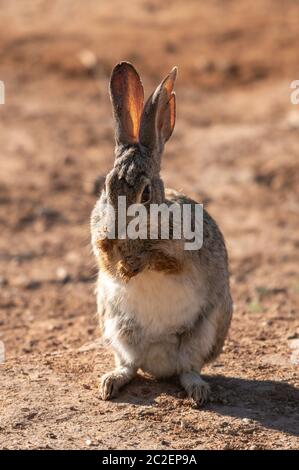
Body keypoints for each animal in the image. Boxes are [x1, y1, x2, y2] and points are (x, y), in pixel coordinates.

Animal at [90, 61, 233, 408]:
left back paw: (198, 392)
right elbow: (104, 257)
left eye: (145, 193)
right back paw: (110, 384)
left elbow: (163, 260)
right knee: (129, 364)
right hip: (116, 326)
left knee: (188, 368)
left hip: (205, 329)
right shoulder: (98, 239)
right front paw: (121, 268)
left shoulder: (182, 253)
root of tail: (158, 363)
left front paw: (134, 265)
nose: (118, 227)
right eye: (106, 186)